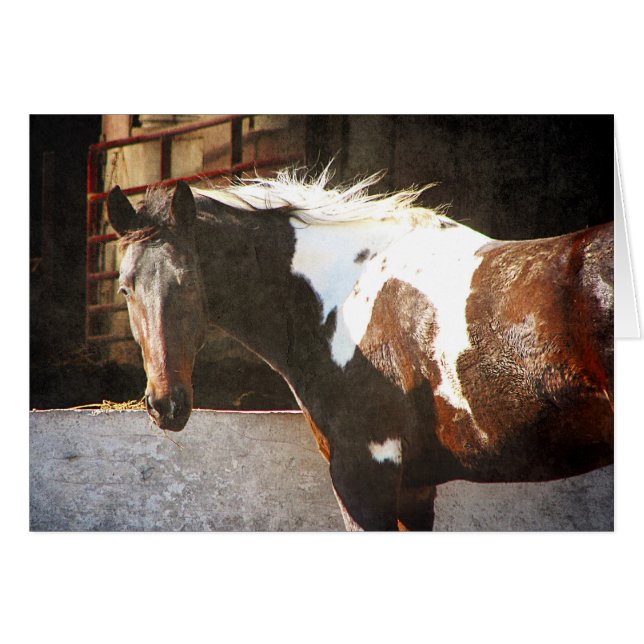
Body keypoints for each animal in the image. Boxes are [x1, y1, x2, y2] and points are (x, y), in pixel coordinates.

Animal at [106, 169, 614, 531]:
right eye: (125, 288)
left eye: (188, 283)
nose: (165, 405)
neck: (342, 296)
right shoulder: (414, 490)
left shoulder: (363, 476)